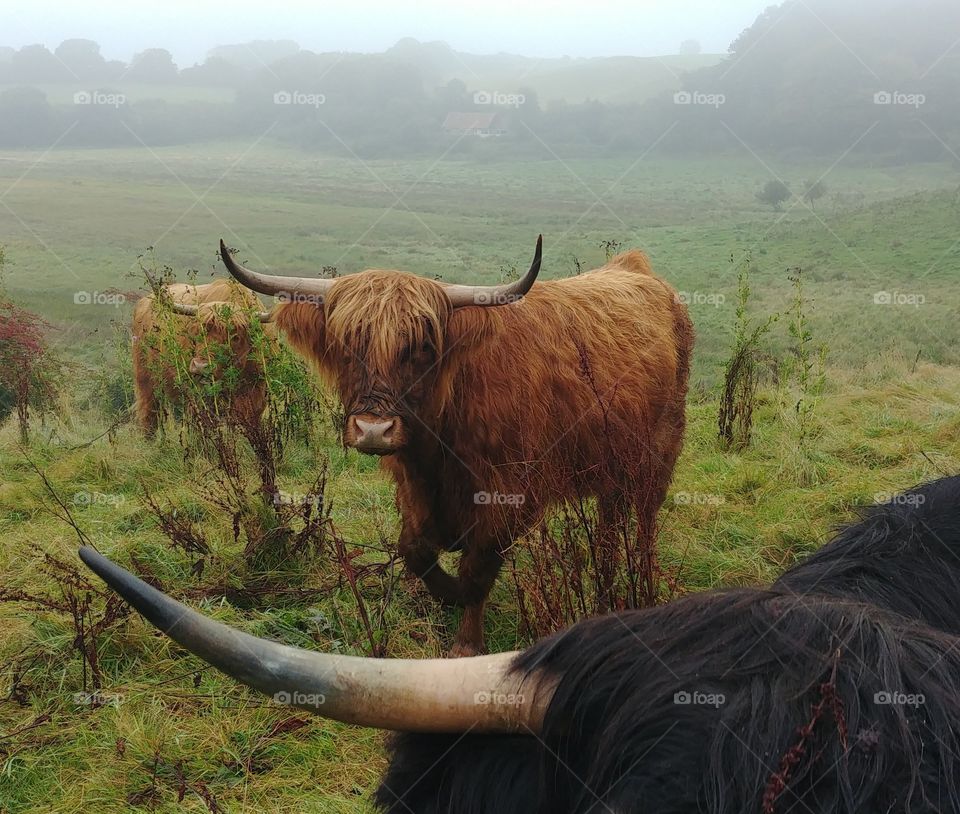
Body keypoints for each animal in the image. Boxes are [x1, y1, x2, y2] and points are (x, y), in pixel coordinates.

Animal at [131, 279, 272, 436]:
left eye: (235, 337)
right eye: (198, 332)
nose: (200, 367)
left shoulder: (255, 396)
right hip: (145, 380)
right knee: (149, 418)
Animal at [217, 238, 694, 655]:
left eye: (423, 347)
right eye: (346, 346)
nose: (373, 429)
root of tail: (635, 269)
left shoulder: (509, 494)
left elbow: (477, 570)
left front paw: (466, 639)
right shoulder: (412, 489)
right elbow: (414, 549)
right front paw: (443, 593)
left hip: (660, 447)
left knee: (645, 517)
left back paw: (642, 580)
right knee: (611, 520)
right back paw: (606, 581)